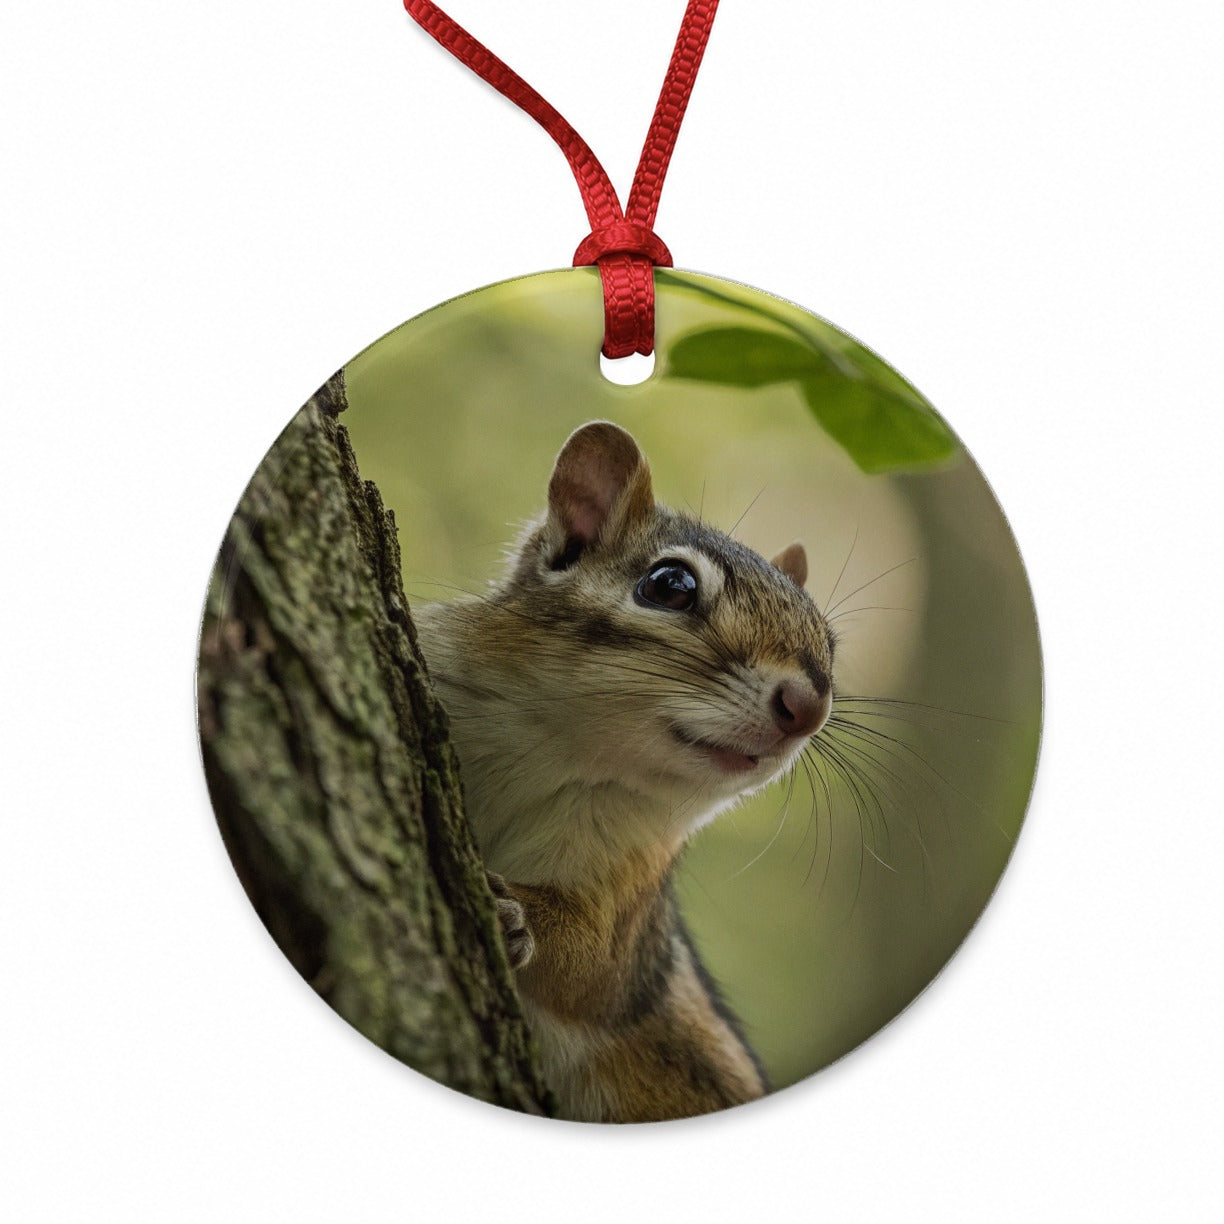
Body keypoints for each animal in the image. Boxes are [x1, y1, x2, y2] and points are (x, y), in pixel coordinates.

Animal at [415, 421, 835, 1123]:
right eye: (669, 585)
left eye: (830, 640)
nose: (808, 708)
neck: (558, 748)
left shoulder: (631, 889)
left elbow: (593, 967)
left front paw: (518, 914)